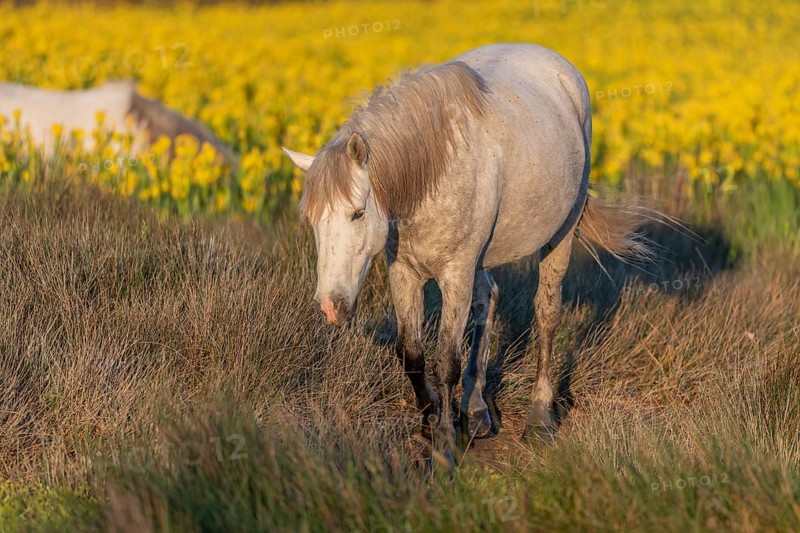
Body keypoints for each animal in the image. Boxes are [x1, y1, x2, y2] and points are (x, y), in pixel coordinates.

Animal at [283, 43, 648, 462]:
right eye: (312, 221)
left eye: (357, 213)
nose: (331, 307)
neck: (431, 172)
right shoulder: (404, 272)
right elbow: (411, 354)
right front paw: (432, 420)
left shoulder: (454, 273)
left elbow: (445, 362)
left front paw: (444, 444)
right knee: (487, 299)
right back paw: (475, 410)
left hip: (561, 234)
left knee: (546, 313)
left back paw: (539, 417)